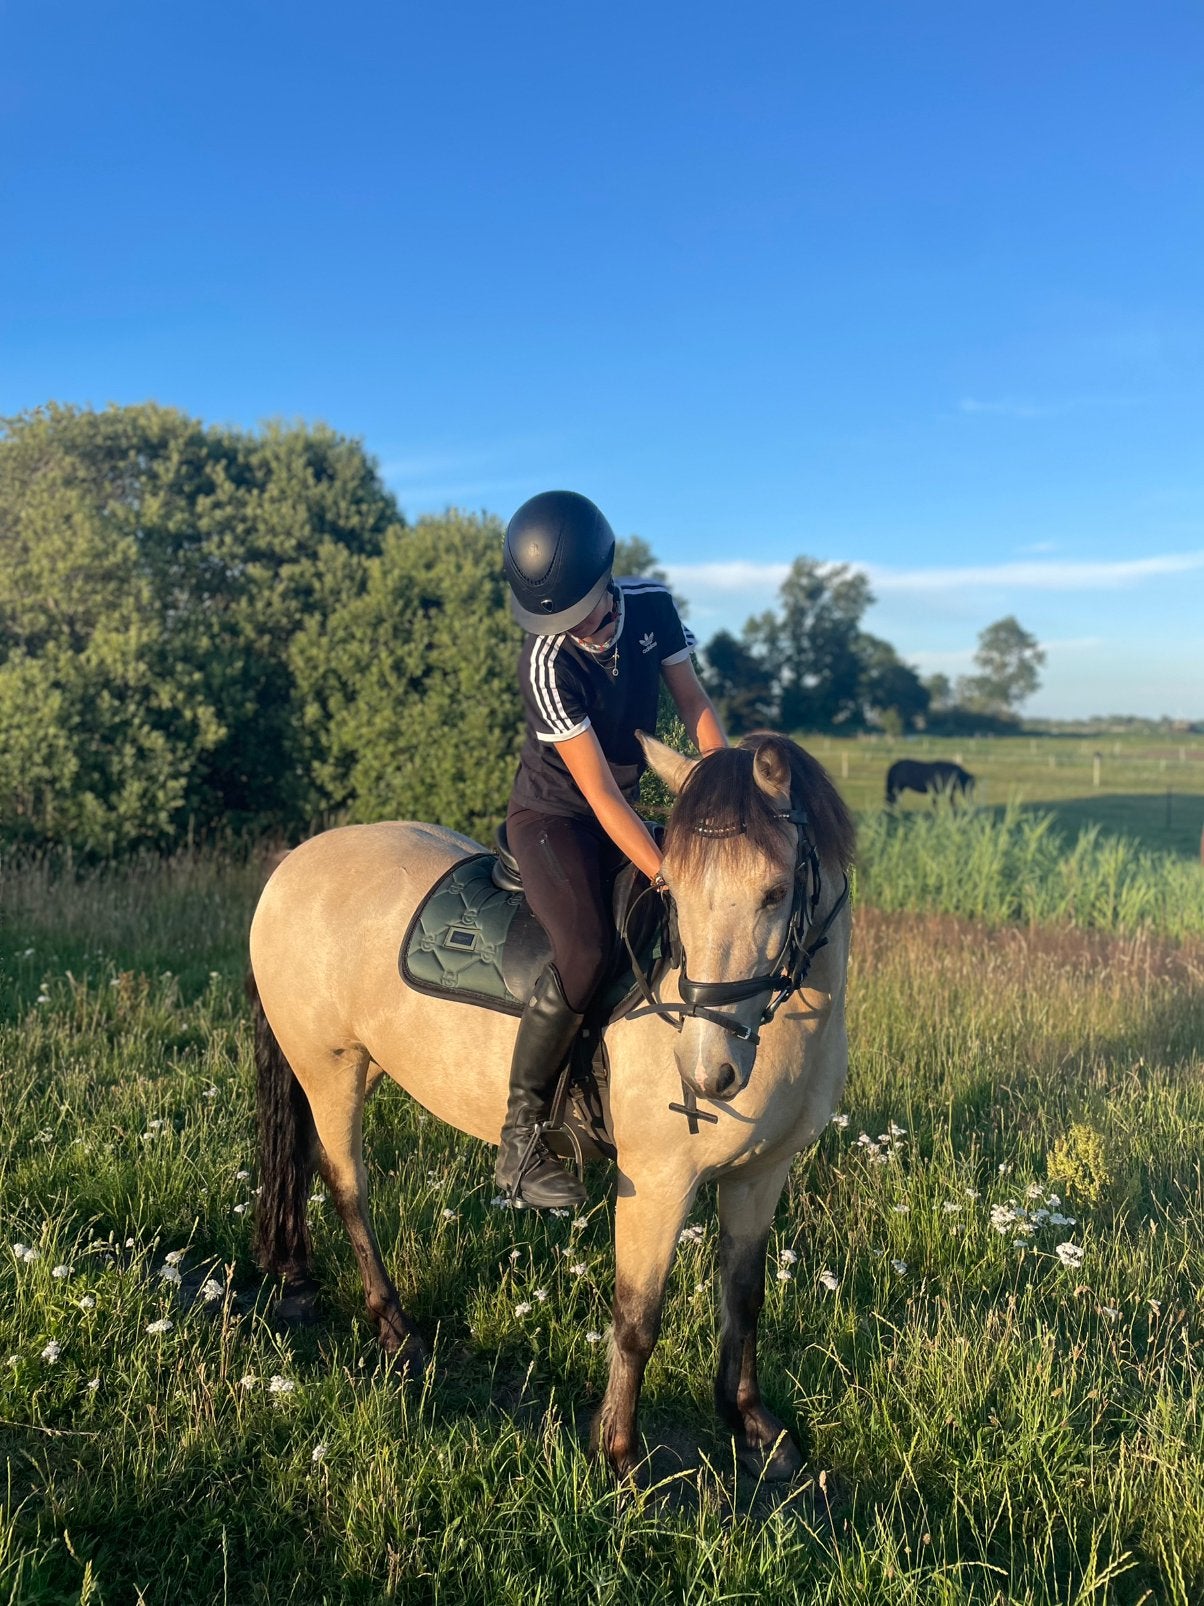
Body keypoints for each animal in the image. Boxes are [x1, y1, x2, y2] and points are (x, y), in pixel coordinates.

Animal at [248, 731, 855, 1481]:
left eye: (775, 892)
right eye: (675, 893)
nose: (706, 1070)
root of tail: (294, 864)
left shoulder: (760, 1175)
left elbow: (743, 1300)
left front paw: (754, 1430)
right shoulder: (659, 1183)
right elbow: (637, 1317)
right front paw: (619, 1456)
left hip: (342, 1070)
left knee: (302, 1163)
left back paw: (296, 1281)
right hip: (329, 1067)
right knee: (346, 1185)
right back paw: (395, 1330)